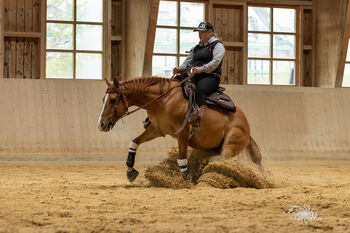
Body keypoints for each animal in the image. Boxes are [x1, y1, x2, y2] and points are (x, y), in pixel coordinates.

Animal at [97, 77, 262, 182]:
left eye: (112, 100)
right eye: (103, 99)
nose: (101, 124)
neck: (164, 100)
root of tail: (246, 125)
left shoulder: (182, 133)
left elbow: (182, 159)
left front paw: (184, 181)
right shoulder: (157, 129)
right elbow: (134, 142)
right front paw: (130, 170)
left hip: (229, 147)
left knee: (222, 162)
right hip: (207, 149)